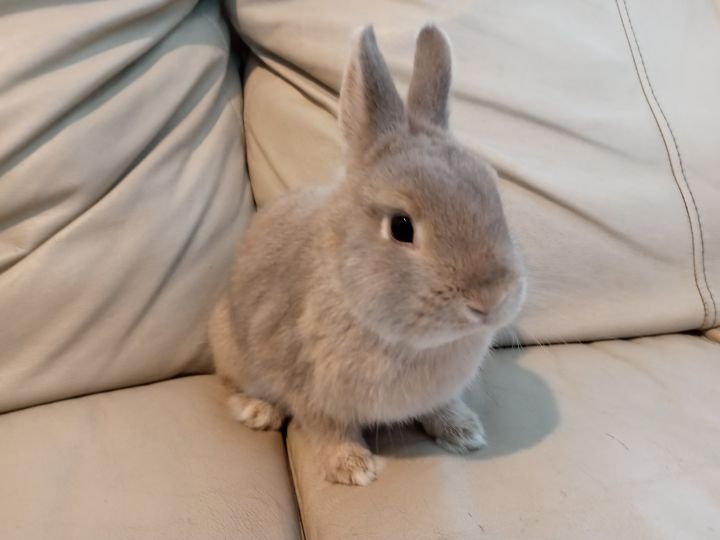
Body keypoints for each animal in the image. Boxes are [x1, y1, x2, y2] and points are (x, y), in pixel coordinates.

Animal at [208, 25, 524, 488]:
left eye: (493, 193)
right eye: (401, 227)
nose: (491, 300)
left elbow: (440, 406)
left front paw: (464, 432)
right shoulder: (309, 387)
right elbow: (326, 426)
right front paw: (352, 468)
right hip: (231, 346)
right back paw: (258, 411)